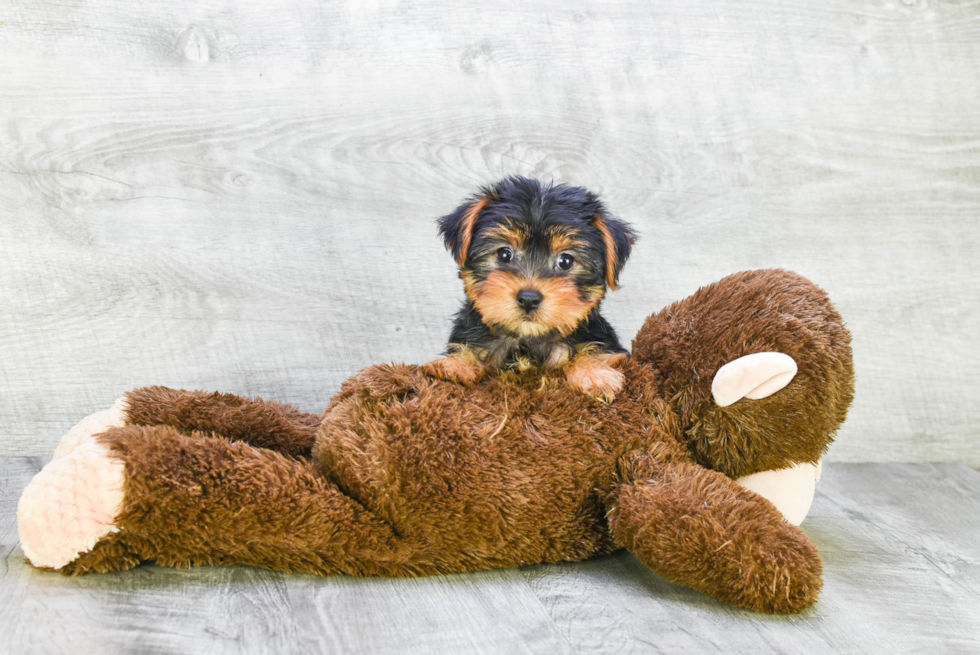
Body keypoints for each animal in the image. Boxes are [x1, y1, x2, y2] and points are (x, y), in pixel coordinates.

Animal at [424, 176, 640, 400]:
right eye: (504, 254)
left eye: (566, 261)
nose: (529, 298)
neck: (528, 340)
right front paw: (454, 366)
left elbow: (590, 351)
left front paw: (594, 373)